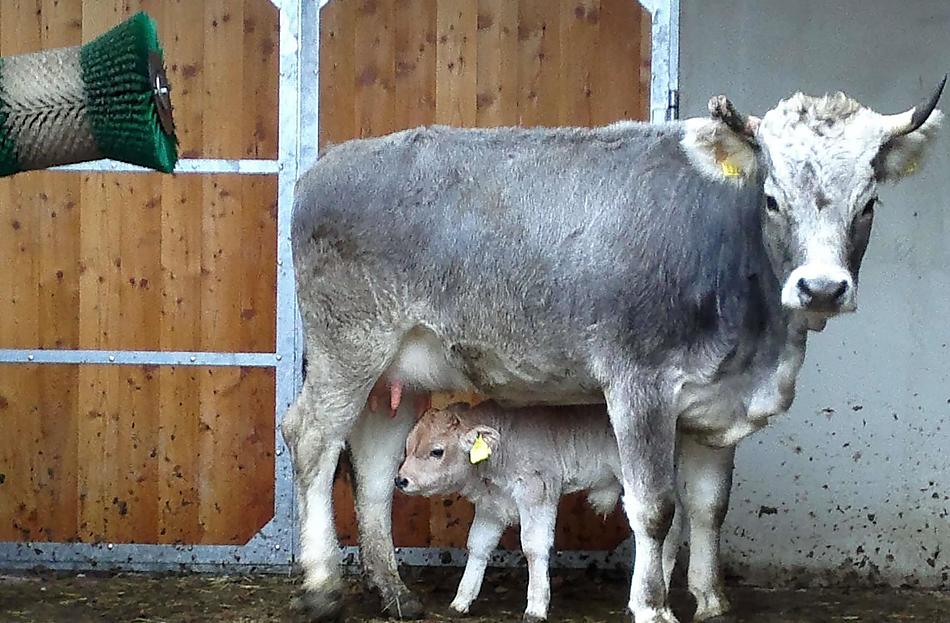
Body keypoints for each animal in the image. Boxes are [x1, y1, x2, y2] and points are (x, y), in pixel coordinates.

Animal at [396, 402, 626, 622]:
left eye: (437, 451)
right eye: (408, 446)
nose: (401, 480)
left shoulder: (537, 491)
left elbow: (534, 548)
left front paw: (536, 608)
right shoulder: (490, 505)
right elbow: (478, 545)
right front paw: (460, 602)